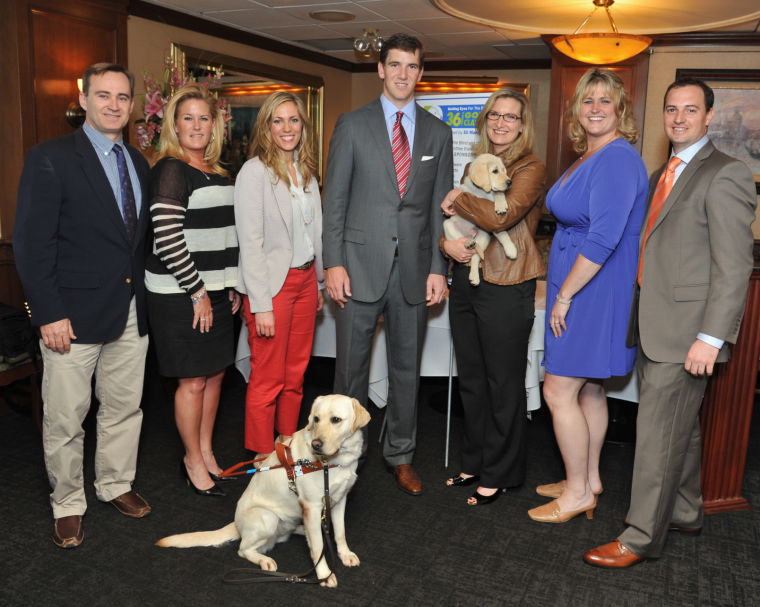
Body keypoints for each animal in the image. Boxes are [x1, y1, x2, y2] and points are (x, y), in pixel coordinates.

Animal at [155, 394, 372, 588]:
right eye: (316, 419)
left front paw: (345, 554)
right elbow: (318, 547)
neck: (333, 462)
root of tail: (236, 524)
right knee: (243, 549)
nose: (316, 445)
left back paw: (303, 531)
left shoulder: (339, 500)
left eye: (336, 420)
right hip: (268, 517)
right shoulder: (311, 507)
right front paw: (325, 575)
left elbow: (340, 532)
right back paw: (264, 560)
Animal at [446, 151, 516, 286]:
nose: (510, 182)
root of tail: (470, 236)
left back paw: (474, 276)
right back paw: (468, 243)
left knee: (475, 256)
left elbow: (499, 193)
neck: (483, 192)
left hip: (484, 236)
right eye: (495, 171)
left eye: (504, 170)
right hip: (448, 225)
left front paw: (500, 205)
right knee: (460, 240)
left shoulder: (490, 221)